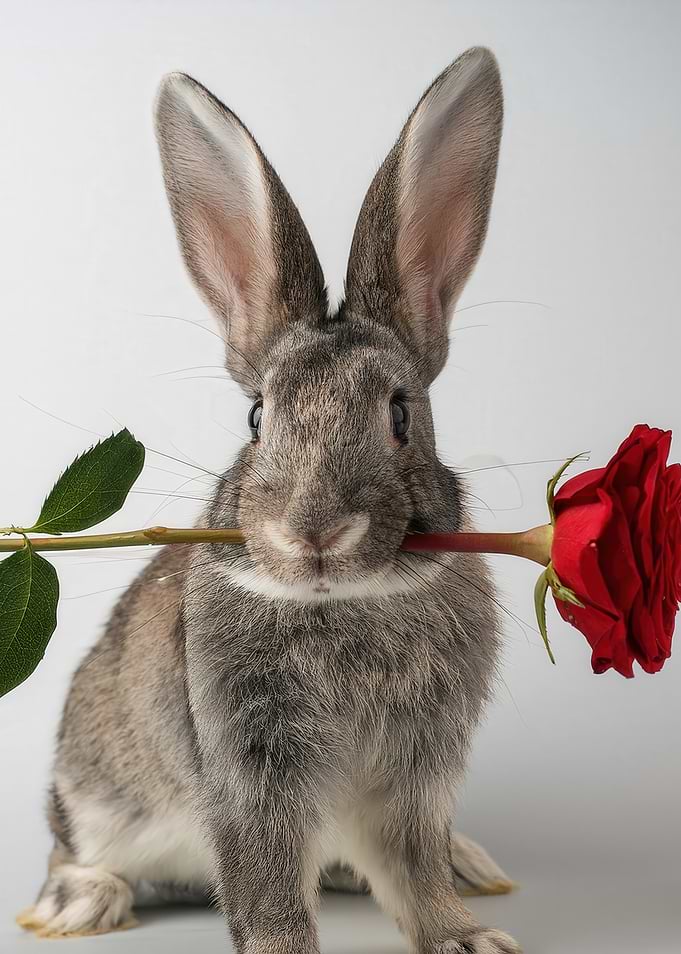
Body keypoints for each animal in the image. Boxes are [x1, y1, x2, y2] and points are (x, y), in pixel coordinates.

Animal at [17, 46, 520, 953]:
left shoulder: (415, 774)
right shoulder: (247, 764)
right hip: (94, 792)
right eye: (257, 417)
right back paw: (80, 904)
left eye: (400, 414)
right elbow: (266, 882)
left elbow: (414, 866)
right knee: (71, 846)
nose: (312, 531)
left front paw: (468, 937)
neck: (350, 601)